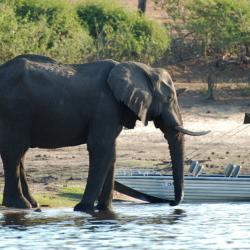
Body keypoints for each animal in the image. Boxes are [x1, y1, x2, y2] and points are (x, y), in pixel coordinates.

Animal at [0, 54, 209, 211]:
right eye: (170, 98)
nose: (172, 203)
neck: (142, 69)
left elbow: (111, 154)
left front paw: (105, 210)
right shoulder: (105, 106)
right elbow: (101, 149)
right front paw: (83, 209)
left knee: (19, 154)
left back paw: (31, 204)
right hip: (14, 111)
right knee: (14, 152)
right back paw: (21, 205)